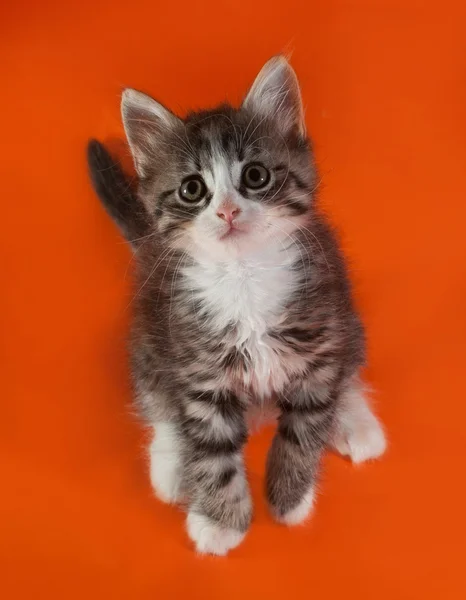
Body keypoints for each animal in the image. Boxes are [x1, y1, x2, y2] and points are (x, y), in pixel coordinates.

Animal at [87, 57, 386, 556]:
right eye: (192, 189)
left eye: (255, 176)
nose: (227, 211)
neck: (243, 276)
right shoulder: (199, 370)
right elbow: (210, 451)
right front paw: (220, 521)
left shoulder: (320, 342)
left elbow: (306, 428)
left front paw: (290, 496)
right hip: (150, 336)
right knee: (158, 398)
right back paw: (171, 467)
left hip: (348, 322)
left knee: (347, 372)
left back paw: (355, 423)